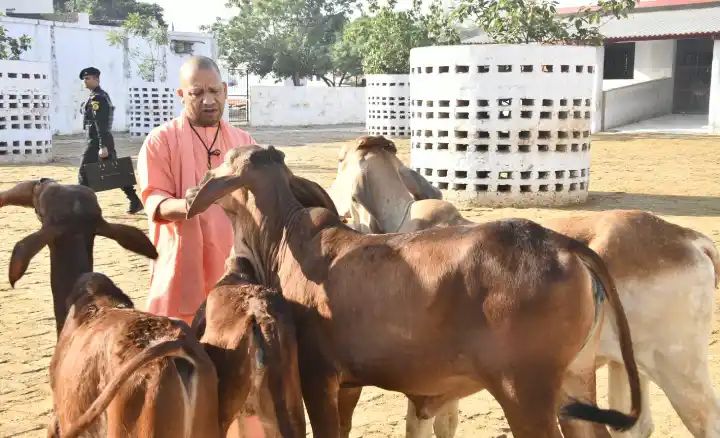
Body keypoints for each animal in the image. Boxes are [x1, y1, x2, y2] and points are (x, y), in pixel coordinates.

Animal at [188, 146, 644, 438]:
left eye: (225, 160)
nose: (194, 189)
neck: (283, 239)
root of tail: (561, 243)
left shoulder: (317, 375)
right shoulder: (348, 383)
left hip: (525, 393)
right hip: (576, 380)